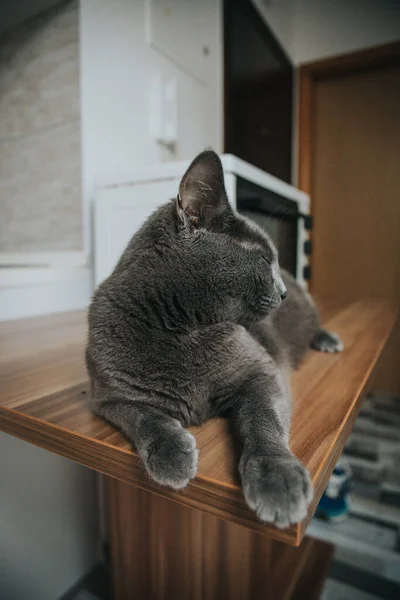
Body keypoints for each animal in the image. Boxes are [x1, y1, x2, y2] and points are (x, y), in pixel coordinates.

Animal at [86, 151, 342, 528]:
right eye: (264, 259)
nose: (280, 291)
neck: (179, 326)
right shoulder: (107, 396)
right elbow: (144, 417)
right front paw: (171, 454)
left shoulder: (262, 372)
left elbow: (261, 419)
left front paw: (276, 478)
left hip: (305, 311)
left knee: (314, 323)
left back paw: (326, 339)